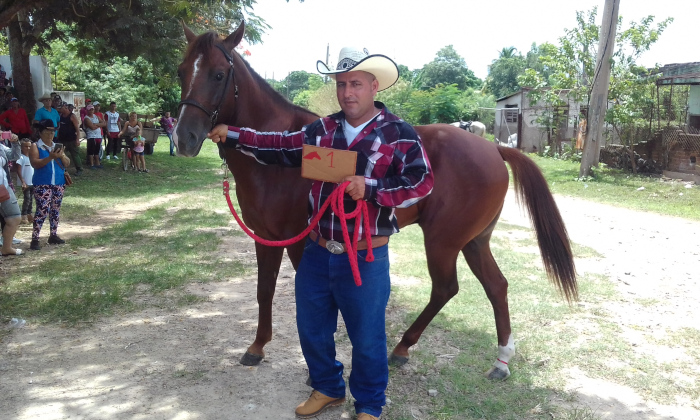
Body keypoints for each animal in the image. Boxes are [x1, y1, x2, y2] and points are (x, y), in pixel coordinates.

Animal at [174, 22, 577, 380]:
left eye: (219, 74)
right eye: (181, 71)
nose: (184, 138)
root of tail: (494, 148)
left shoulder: (301, 241)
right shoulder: (266, 236)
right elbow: (264, 290)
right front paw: (257, 347)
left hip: (444, 241)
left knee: (446, 288)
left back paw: (402, 347)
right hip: (474, 241)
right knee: (497, 286)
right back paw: (500, 360)